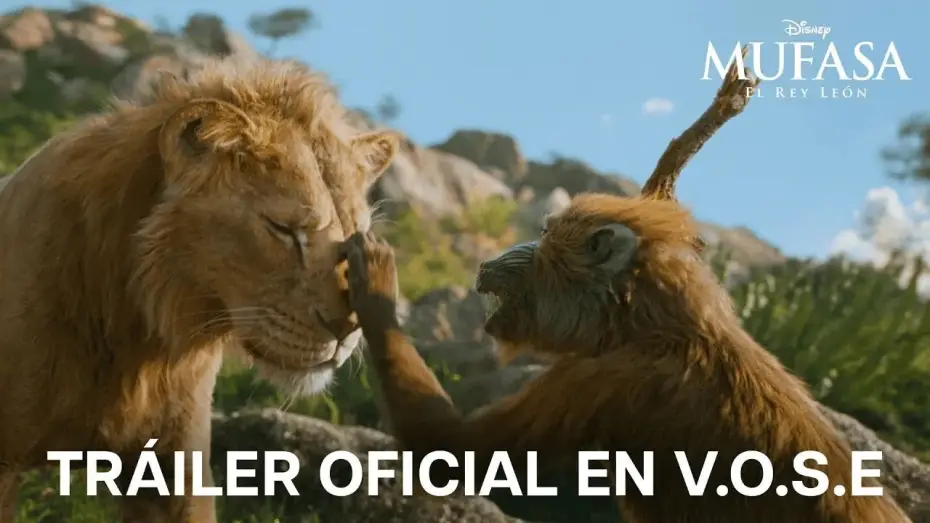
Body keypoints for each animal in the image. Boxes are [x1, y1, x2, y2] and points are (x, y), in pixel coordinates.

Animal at [339, 202, 913, 523]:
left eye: (544, 235)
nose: (498, 255)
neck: (658, 324)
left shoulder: (601, 377)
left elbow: (452, 453)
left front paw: (377, 291)